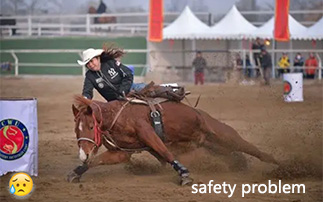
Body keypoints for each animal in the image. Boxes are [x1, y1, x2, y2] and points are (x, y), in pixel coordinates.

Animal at [67, 95, 278, 185]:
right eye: (76, 130)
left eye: (91, 126)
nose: (83, 153)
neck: (118, 117)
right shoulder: (121, 153)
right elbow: (96, 161)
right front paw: (76, 172)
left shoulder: (150, 135)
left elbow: (166, 153)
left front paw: (184, 175)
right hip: (212, 147)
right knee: (235, 157)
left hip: (225, 136)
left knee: (253, 150)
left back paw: (278, 165)